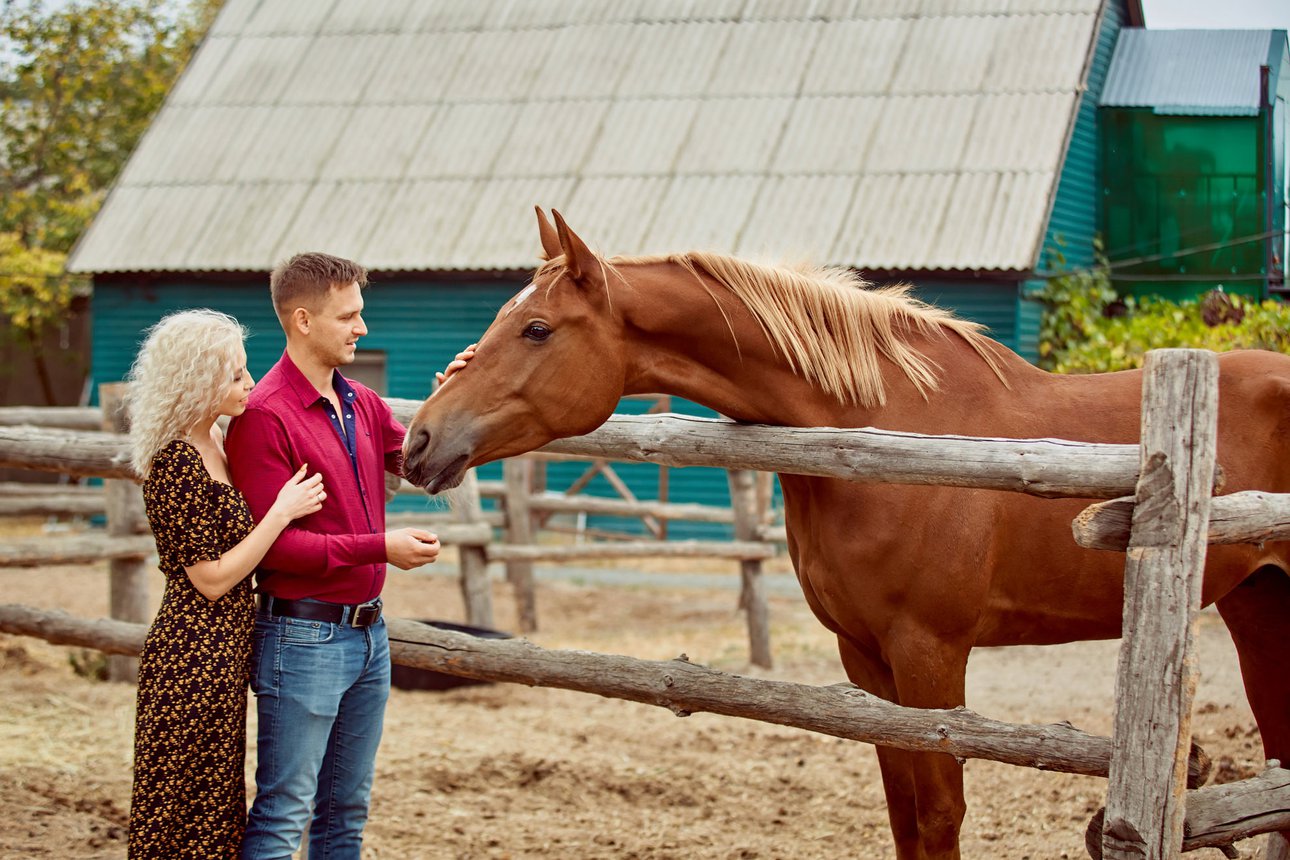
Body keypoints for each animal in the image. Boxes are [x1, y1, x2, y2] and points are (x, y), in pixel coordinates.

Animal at [402, 210, 1290, 860]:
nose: (419, 440)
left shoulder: (930, 653)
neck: (879, 427)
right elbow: (903, 812)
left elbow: (938, 814)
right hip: (1257, 610)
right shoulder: (865, 655)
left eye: (537, 329)